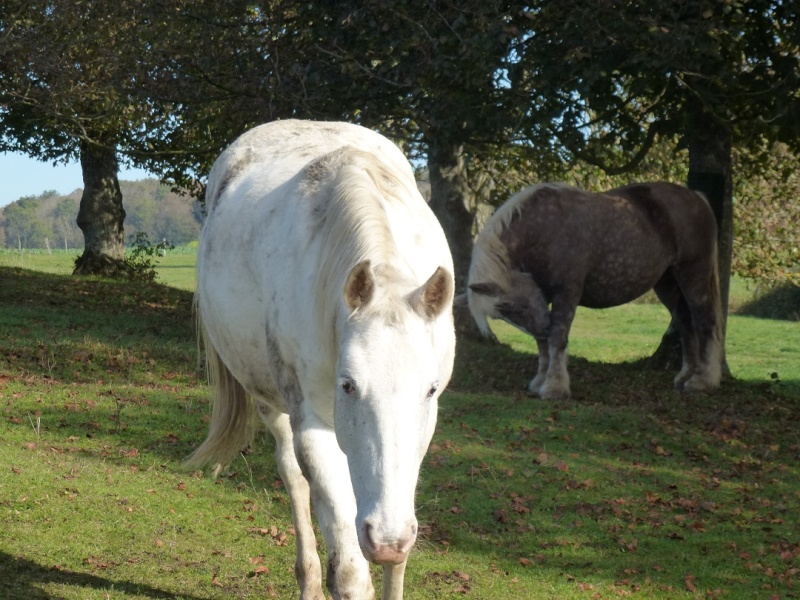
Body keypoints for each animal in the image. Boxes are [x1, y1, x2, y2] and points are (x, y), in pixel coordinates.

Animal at [184, 118, 454, 600]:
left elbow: (397, 561)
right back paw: (310, 579)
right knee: (295, 479)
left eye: (430, 389)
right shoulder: (311, 421)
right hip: (272, 404)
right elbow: (349, 571)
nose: (386, 538)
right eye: (348, 385)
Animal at [466, 183, 720, 398]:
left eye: (509, 306)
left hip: (692, 274)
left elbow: (557, 338)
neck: (544, 228)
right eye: (502, 315)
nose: (542, 327)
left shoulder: (566, 293)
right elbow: (543, 344)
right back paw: (685, 377)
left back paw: (702, 381)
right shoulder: (544, 300)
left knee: (704, 322)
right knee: (685, 324)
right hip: (667, 284)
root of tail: (697, 197)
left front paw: (554, 387)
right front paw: (540, 382)